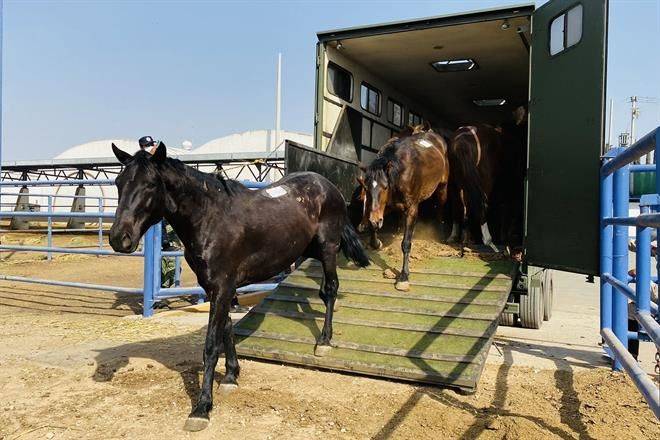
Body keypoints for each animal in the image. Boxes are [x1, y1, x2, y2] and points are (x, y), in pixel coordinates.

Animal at [108, 143, 369, 432]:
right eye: (119, 182)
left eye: (151, 184)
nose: (119, 238)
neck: (210, 217)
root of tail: (328, 186)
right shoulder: (217, 287)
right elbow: (226, 328)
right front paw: (232, 376)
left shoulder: (222, 287)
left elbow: (211, 345)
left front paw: (202, 408)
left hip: (327, 249)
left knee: (330, 289)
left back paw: (324, 341)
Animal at [357, 125, 450, 291]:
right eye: (366, 188)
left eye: (385, 187)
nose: (374, 220)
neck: (401, 172)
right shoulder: (386, 206)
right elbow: (375, 228)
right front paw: (376, 242)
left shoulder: (412, 208)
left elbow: (406, 243)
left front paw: (404, 277)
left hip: (442, 187)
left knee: (440, 206)